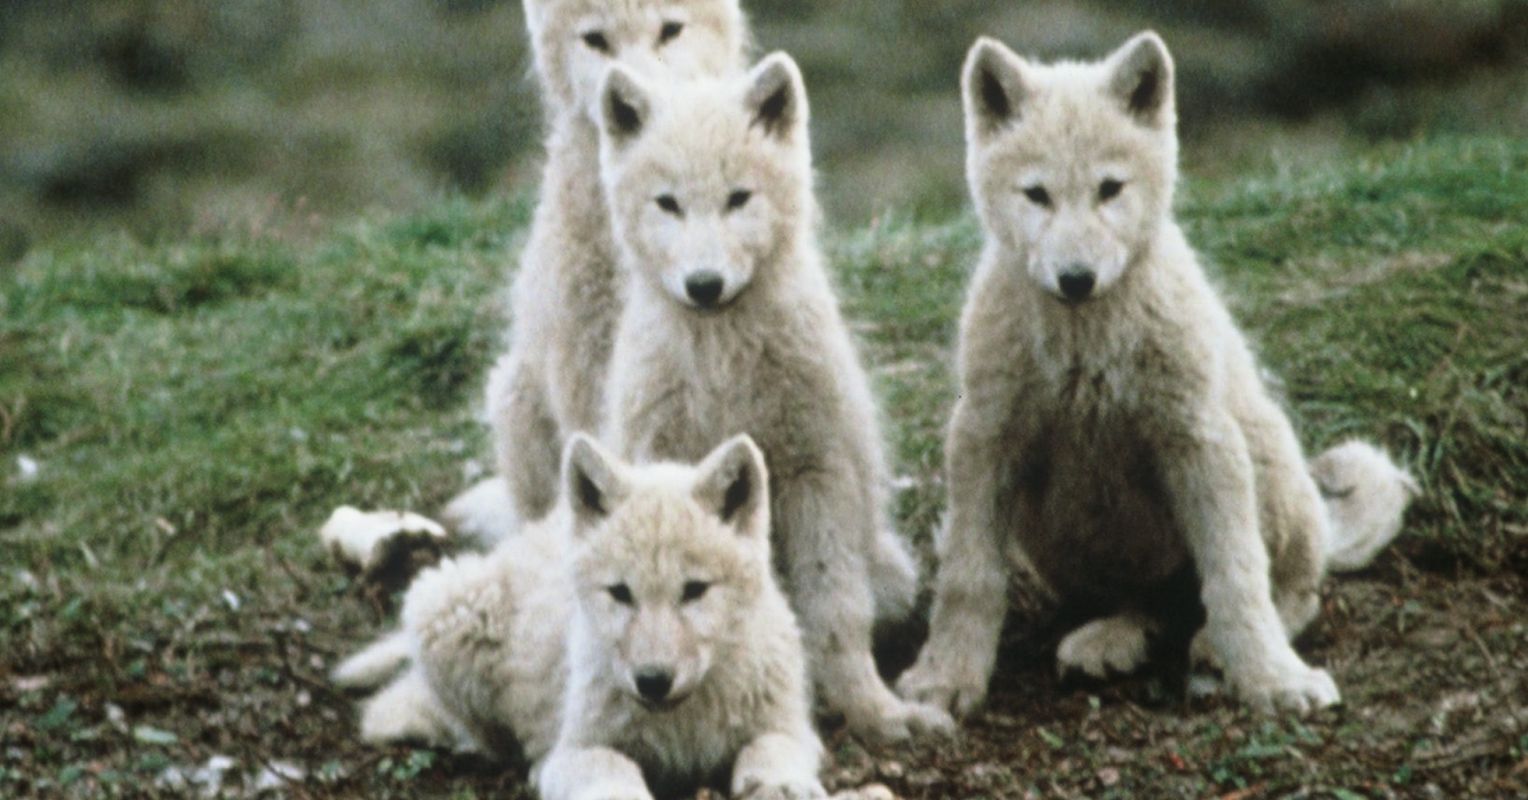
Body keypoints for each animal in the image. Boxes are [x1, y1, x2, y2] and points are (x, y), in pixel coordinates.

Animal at [335, 433, 826, 800]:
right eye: (621, 593)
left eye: (694, 590)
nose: (652, 681)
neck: (683, 722)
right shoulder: (580, 747)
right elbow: (613, 773)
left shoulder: (795, 731)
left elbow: (769, 749)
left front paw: (780, 785)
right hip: (442, 608)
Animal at [593, 55, 949, 742]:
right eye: (668, 204)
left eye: (738, 198)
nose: (704, 285)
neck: (723, 365)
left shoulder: (817, 473)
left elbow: (835, 610)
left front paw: (874, 711)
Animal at [895, 33, 1419, 717]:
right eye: (1037, 195)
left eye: (1109, 189)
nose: (1076, 279)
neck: (1084, 345)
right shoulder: (984, 438)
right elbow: (969, 577)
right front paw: (945, 678)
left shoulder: (1200, 440)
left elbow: (1236, 577)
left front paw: (1274, 680)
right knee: (1148, 605)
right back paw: (1111, 640)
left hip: (1263, 465)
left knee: (1289, 592)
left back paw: (1220, 646)